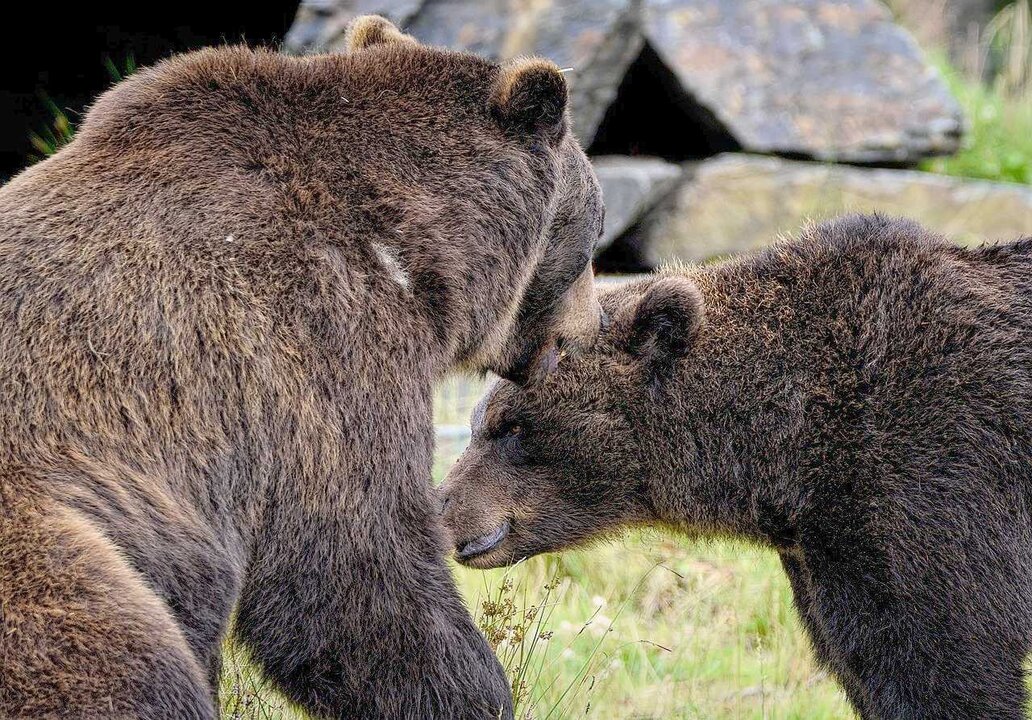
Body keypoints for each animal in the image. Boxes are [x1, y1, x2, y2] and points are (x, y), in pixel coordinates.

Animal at [0, 16, 602, 717]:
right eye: (593, 233)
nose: (592, 327)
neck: (415, 255)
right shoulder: (317, 350)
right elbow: (357, 572)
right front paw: (480, 694)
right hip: (55, 553)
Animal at [441, 214, 1032, 717]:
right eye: (479, 420)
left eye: (513, 427)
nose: (445, 510)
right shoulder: (821, 556)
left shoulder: (935, 479)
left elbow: (946, 662)